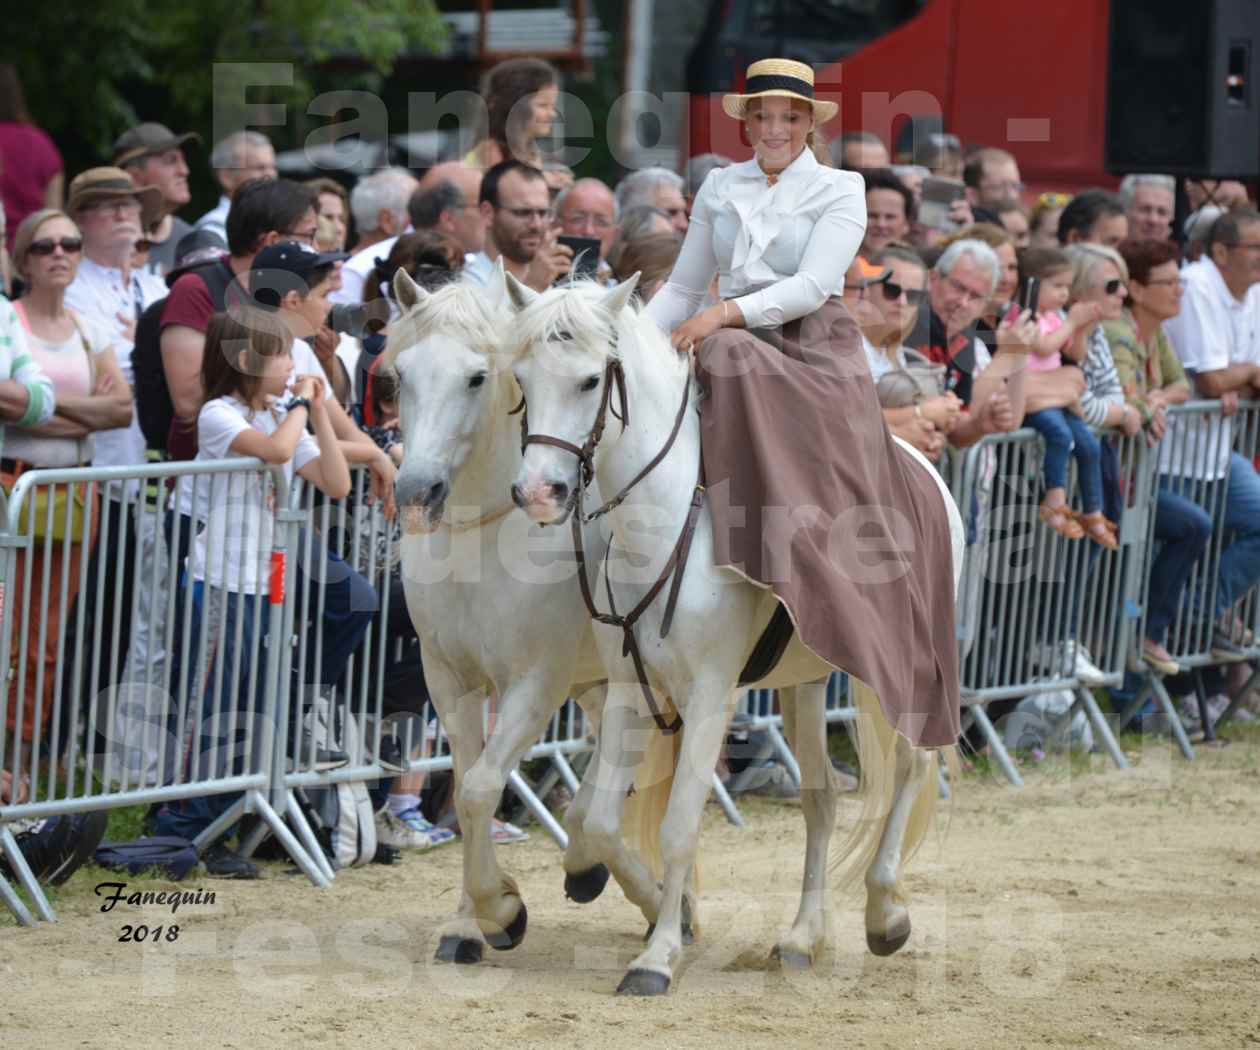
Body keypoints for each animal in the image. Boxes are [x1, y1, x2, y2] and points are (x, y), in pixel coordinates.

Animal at [390, 265, 680, 963]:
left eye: (478, 377)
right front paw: (468, 923)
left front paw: (503, 911)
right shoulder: (450, 680)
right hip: (605, 684)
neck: (484, 535)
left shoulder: (535, 683)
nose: (416, 494)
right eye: (400, 375)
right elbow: (466, 785)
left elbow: (478, 788)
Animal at [501, 274, 962, 993]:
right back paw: (801, 938)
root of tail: (921, 461)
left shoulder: (711, 696)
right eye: (520, 377)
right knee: (821, 800)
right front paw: (598, 881)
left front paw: (657, 959)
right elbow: (599, 820)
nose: (539, 493)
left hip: (904, 664)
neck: (663, 518)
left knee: (914, 763)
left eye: (589, 380)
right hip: (807, 679)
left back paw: (886, 914)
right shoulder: (630, 690)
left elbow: (680, 826)